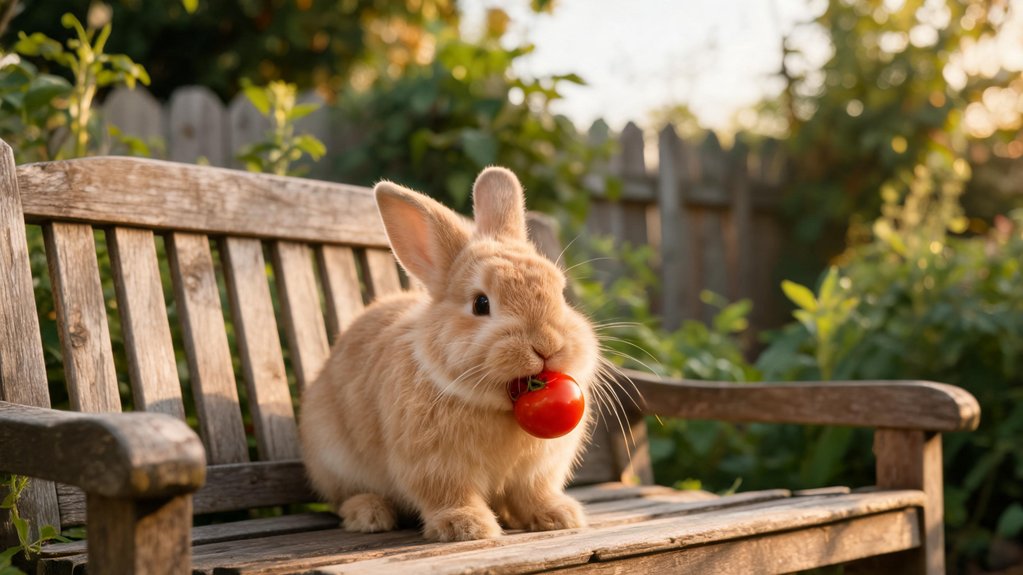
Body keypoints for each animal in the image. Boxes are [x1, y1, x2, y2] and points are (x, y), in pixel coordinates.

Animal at [299, 167, 600, 542]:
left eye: (560, 292)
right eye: (481, 304)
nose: (547, 344)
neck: (502, 409)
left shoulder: (536, 472)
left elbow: (533, 493)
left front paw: (558, 516)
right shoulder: (436, 466)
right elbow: (450, 495)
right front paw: (467, 527)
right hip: (334, 459)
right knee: (345, 496)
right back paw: (369, 514)